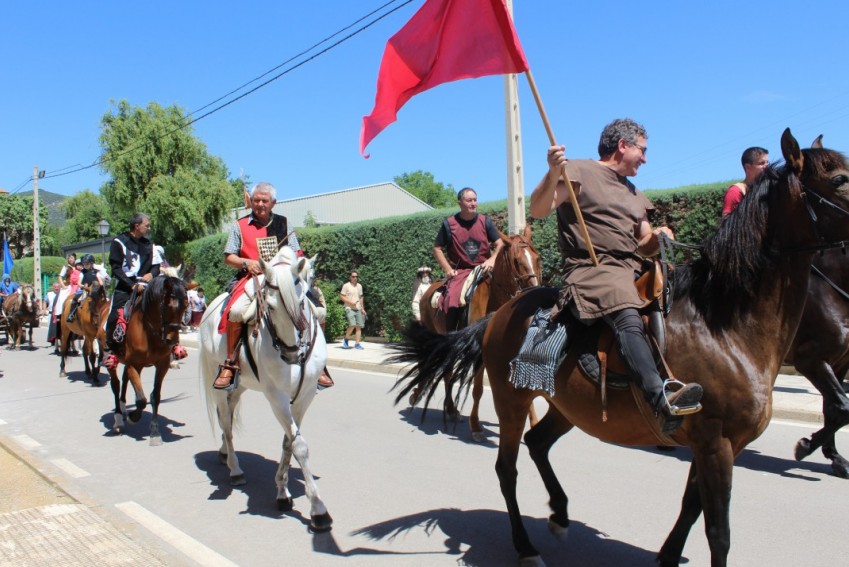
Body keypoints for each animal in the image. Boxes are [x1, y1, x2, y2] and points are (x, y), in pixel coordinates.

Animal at [107, 278, 186, 446]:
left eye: (186, 305)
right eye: (167, 305)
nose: (172, 340)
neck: (150, 331)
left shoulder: (162, 365)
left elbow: (155, 397)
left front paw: (155, 432)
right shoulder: (133, 364)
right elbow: (141, 400)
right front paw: (134, 417)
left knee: (124, 380)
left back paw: (124, 408)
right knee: (116, 385)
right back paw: (118, 419)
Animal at [199, 247, 332, 532]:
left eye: (303, 301)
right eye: (268, 307)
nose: (291, 354)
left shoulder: (304, 397)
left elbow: (288, 443)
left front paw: (282, 492)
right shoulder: (277, 398)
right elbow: (299, 446)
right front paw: (318, 509)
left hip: (240, 387)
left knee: (230, 412)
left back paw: (224, 453)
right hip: (219, 385)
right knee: (226, 423)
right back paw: (235, 469)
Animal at [412, 226, 540, 440]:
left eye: (537, 258)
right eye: (516, 261)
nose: (536, 292)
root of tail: (427, 291)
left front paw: (534, 423)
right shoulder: (479, 355)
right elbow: (478, 389)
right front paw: (476, 426)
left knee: (447, 374)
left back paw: (451, 410)